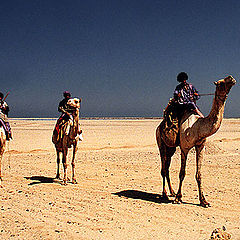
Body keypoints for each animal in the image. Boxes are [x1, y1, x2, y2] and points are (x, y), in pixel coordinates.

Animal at [156, 76, 236, 207]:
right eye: (220, 83)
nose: (231, 78)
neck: (197, 126)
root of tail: (159, 126)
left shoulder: (201, 146)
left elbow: (199, 174)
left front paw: (204, 201)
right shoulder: (184, 148)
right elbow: (182, 173)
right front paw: (178, 198)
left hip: (171, 148)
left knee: (166, 167)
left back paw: (171, 192)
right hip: (160, 143)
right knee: (163, 168)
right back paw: (165, 194)